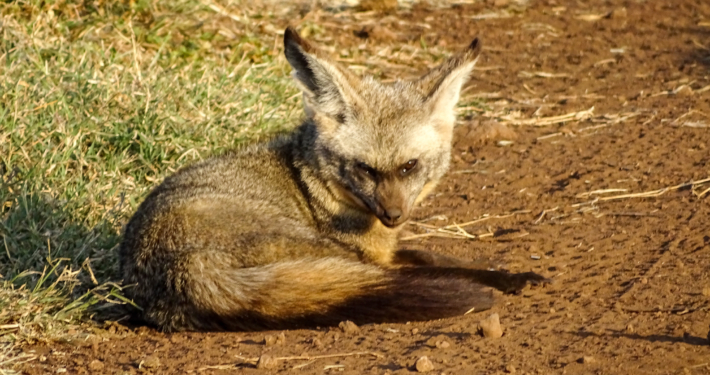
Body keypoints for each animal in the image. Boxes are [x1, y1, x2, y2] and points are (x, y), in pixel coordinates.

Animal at [118, 26, 552, 332]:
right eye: (365, 169)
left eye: (409, 166)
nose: (393, 215)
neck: (311, 185)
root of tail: (181, 269)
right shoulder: (368, 256)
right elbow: (439, 265)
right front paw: (501, 278)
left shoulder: (384, 251)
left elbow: (439, 256)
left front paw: (511, 274)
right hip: (328, 256)